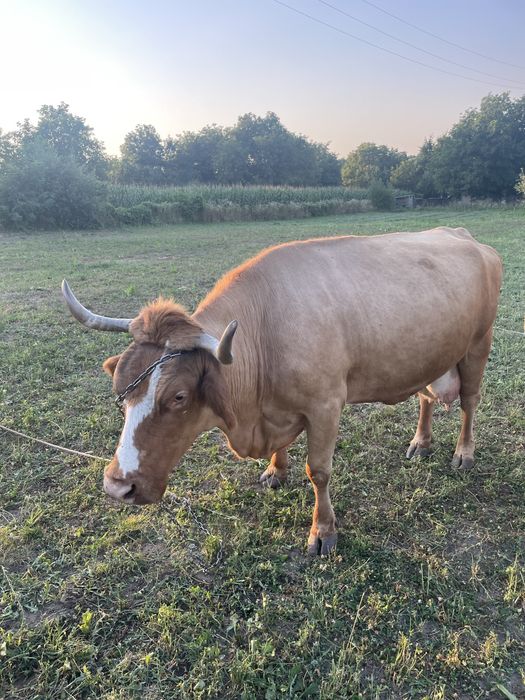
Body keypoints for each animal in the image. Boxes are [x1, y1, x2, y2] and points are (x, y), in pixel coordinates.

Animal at [62, 227, 502, 555]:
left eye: (179, 396)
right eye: (121, 390)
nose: (118, 486)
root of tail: (465, 236)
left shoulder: (326, 404)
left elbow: (319, 471)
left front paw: (323, 531)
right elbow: (285, 450)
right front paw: (275, 470)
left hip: (478, 344)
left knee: (470, 402)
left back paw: (463, 453)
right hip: (430, 354)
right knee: (426, 397)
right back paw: (421, 442)